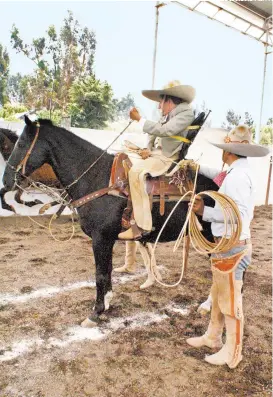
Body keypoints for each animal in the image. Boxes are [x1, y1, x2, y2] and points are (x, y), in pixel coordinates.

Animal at [3, 116, 217, 324]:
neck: (97, 178)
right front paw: (106, 303)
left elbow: (100, 273)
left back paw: (208, 306)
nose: (6, 181)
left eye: (20, 143)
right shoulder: (107, 240)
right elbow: (108, 271)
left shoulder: (101, 238)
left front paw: (96, 312)